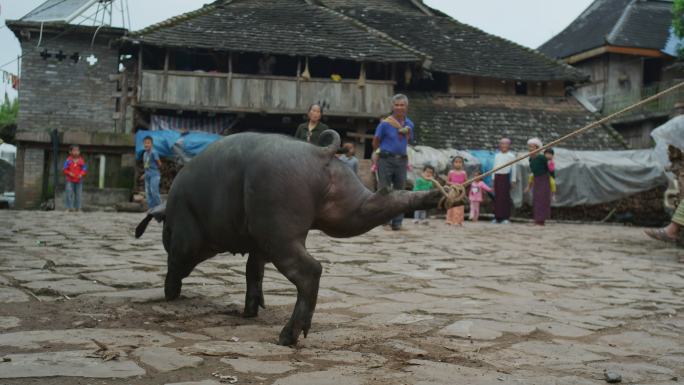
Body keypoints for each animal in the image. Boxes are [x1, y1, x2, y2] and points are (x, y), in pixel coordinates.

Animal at [135, 130, 454, 344]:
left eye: (166, 231)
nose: (168, 297)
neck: (174, 209)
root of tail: (320, 153)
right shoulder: (257, 244)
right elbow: (253, 271)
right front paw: (249, 313)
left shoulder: (185, 235)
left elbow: (177, 261)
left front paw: (170, 294)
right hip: (345, 206)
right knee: (379, 202)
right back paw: (442, 196)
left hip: (280, 224)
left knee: (311, 270)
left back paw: (286, 337)